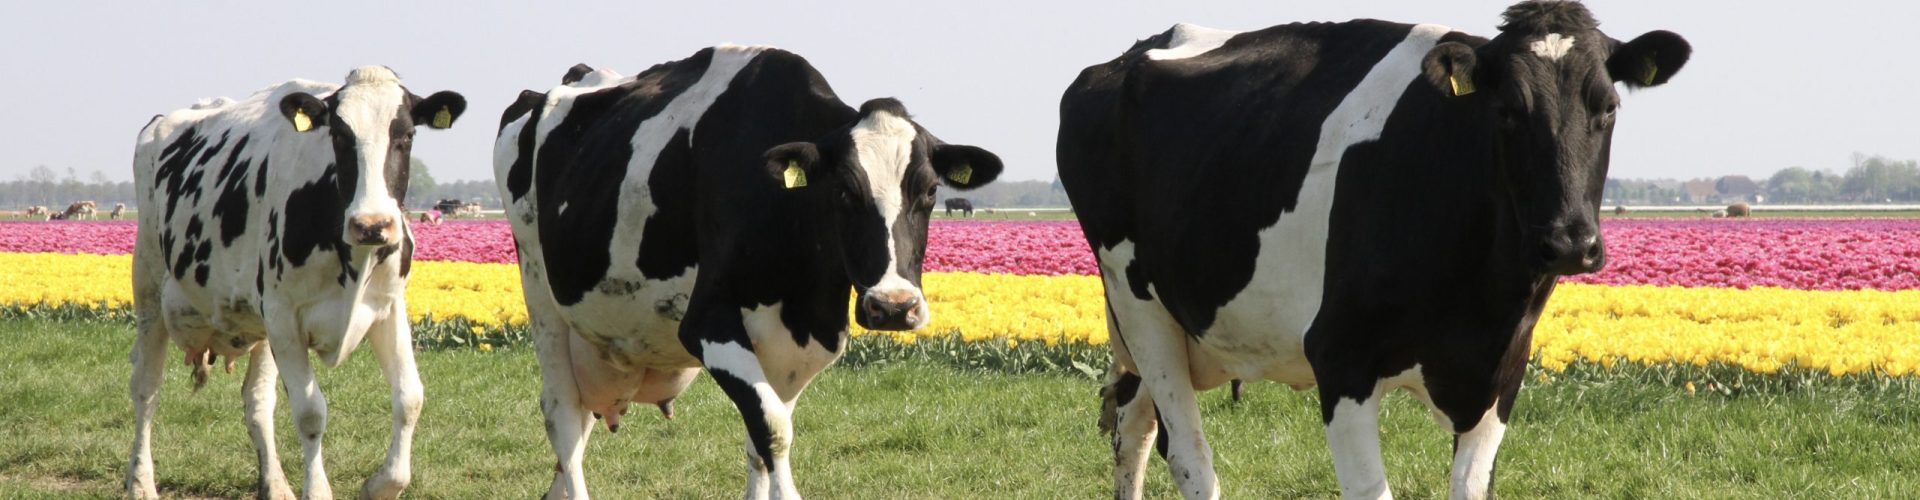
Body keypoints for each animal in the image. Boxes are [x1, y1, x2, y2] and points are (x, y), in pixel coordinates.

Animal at [127, 66, 465, 500]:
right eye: (338, 135)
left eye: (405, 136)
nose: (372, 225)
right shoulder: (284, 318)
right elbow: (310, 413)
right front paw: (318, 490)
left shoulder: (387, 308)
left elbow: (410, 397)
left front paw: (380, 485)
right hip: (149, 286)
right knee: (146, 388)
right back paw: (140, 482)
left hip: (256, 325)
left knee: (257, 402)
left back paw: (274, 484)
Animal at [494, 46, 1002, 499]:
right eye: (842, 190)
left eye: (931, 190)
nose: (894, 307)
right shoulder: (705, 323)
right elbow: (774, 428)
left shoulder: (795, 346)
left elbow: (763, 439)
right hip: (540, 293)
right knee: (563, 418)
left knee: (579, 430)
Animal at [1057, 2, 1689, 498]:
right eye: (1507, 111)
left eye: (1607, 108)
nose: (1568, 242)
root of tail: (1134, 53)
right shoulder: (1340, 356)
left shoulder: (1503, 373)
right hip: (1139, 303)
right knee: (1188, 454)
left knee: (1132, 425)